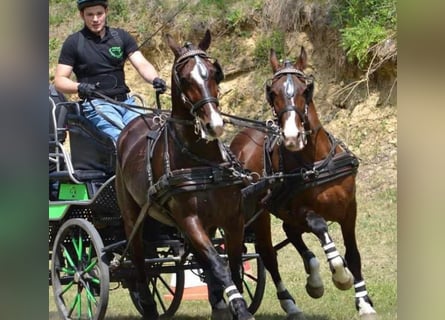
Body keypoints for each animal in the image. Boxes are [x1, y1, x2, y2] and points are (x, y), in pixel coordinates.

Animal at [114, 28, 253, 318]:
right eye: (185, 77)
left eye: (214, 72)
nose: (214, 124)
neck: (203, 163)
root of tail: (130, 127)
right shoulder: (190, 220)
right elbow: (219, 264)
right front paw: (239, 306)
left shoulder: (232, 218)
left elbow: (233, 264)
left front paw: (230, 304)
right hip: (133, 218)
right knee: (139, 263)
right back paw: (149, 305)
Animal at [229, 47, 378, 320]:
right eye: (272, 93)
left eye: (305, 90)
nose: (291, 137)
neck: (315, 162)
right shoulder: (301, 210)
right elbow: (321, 228)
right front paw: (340, 275)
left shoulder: (349, 210)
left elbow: (353, 254)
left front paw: (364, 303)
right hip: (260, 213)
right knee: (268, 254)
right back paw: (290, 303)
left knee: (291, 233)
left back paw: (314, 279)